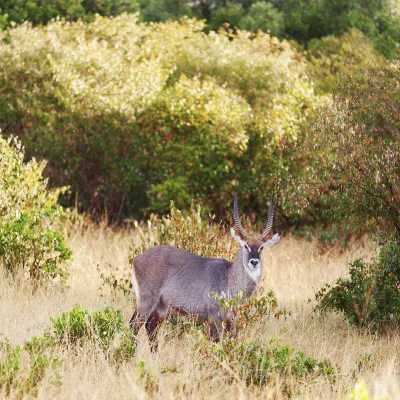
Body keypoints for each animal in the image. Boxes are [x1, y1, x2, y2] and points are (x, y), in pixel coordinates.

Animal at [130, 195, 280, 348]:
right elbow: (216, 341)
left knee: (150, 327)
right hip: (147, 300)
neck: (229, 277)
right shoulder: (213, 316)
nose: (254, 262)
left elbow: (232, 340)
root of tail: (136, 258)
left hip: (161, 307)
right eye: (245, 246)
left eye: (261, 247)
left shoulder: (229, 317)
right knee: (134, 325)